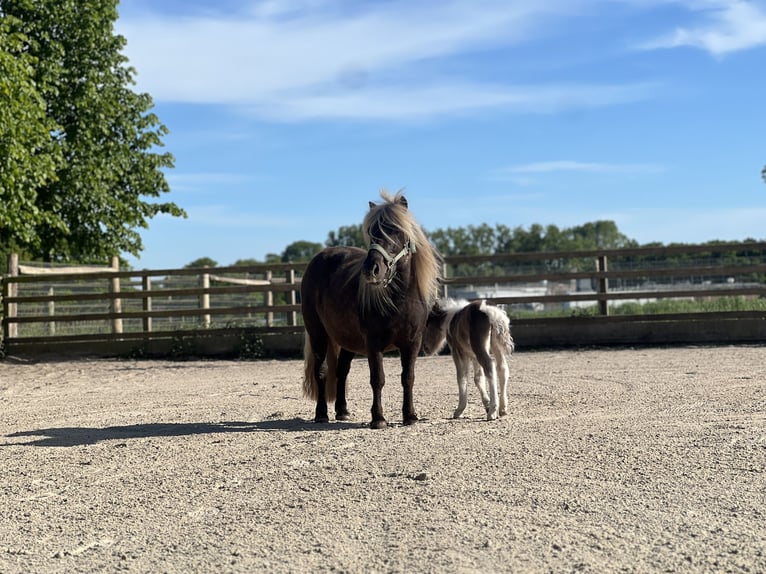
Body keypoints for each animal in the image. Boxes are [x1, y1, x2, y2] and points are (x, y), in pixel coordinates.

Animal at [300, 190, 442, 429]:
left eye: (394, 230)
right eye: (372, 232)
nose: (371, 269)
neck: (400, 300)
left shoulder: (412, 343)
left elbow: (408, 377)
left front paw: (410, 416)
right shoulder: (373, 343)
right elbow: (378, 379)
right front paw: (378, 418)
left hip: (346, 339)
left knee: (341, 371)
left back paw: (342, 411)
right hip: (318, 333)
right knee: (321, 371)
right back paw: (321, 414)